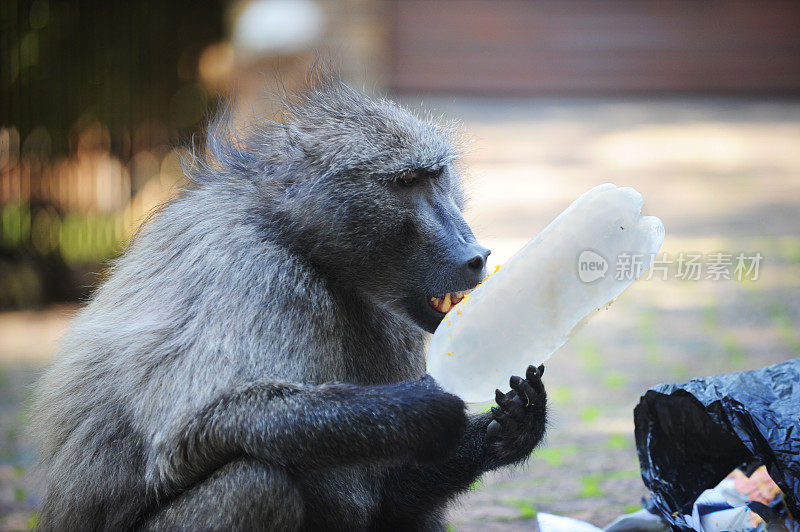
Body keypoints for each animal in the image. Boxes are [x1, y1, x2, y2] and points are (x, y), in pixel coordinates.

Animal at [29, 71, 544, 532]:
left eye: (437, 177)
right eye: (408, 182)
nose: (476, 256)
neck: (298, 238)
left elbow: (389, 495)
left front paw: (513, 427)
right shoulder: (249, 270)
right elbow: (194, 425)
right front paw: (424, 407)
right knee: (259, 482)